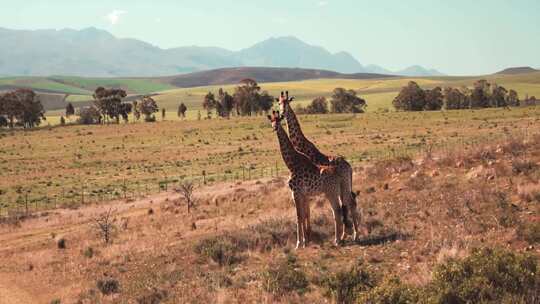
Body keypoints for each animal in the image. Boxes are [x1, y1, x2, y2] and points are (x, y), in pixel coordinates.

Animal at [268, 110, 344, 248]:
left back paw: (337, 240)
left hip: (331, 193)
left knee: (337, 210)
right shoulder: (302, 194)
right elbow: (304, 215)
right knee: (339, 209)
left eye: (279, 120)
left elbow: (298, 216)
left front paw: (298, 243)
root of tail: (338, 176)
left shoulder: (296, 192)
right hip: (334, 192)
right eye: (271, 120)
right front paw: (304, 242)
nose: (274, 128)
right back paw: (339, 239)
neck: (291, 163)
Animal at [278, 91, 362, 241]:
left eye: (286, 103)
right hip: (344, 186)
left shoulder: (305, 189)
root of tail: (349, 167)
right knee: (347, 203)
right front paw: (308, 236)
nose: (281, 114)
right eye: (278, 103)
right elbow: (307, 211)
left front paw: (307, 237)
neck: (302, 147)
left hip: (343, 186)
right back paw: (347, 234)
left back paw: (353, 235)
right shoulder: (306, 190)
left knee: (349, 203)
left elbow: (306, 212)